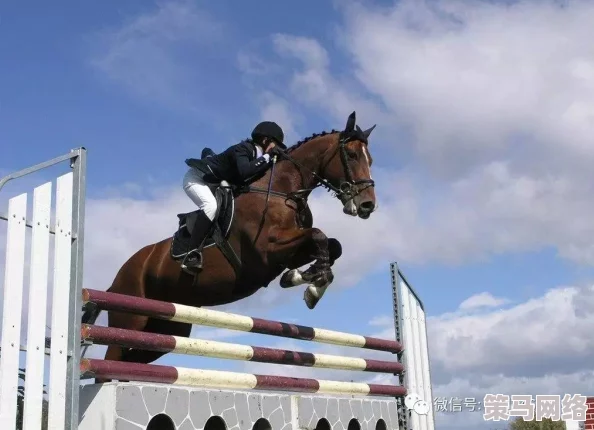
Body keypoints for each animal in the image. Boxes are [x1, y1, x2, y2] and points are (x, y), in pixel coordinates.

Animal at [87, 111, 374, 372]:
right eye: (352, 155)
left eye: (370, 159)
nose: (367, 205)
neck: (283, 190)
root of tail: (115, 280)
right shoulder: (266, 252)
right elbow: (319, 235)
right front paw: (312, 285)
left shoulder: (289, 253)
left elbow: (331, 245)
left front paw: (305, 280)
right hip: (129, 319)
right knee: (110, 362)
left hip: (166, 329)